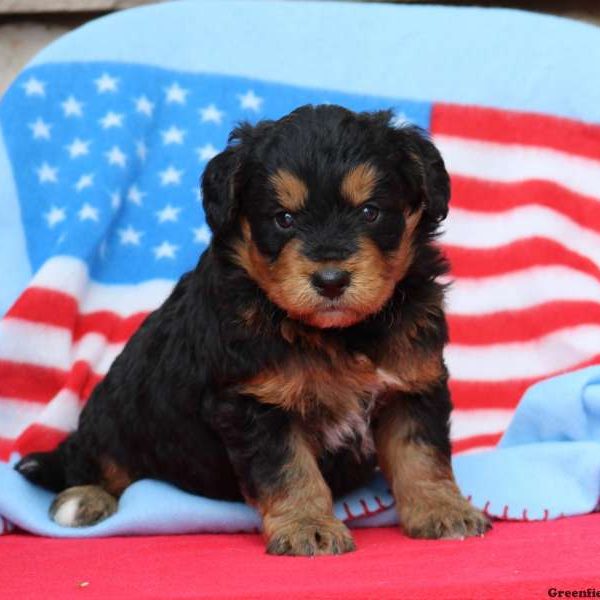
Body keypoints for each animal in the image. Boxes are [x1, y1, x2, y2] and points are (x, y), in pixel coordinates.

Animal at [16, 104, 490, 556]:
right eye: (283, 219)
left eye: (370, 212)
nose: (331, 280)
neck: (339, 335)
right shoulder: (256, 404)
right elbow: (290, 471)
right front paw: (309, 528)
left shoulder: (412, 383)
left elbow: (421, 454)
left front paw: (443, 510)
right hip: (115, 415)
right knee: (93, 460)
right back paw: (84, 499)